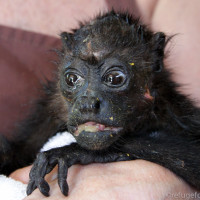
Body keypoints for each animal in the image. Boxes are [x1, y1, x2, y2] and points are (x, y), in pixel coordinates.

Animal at [0, 10, 200, 195]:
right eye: (72, 79)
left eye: (114, 78)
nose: (87, 104)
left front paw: (73, 152)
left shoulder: (173, 111)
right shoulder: (46, 114)